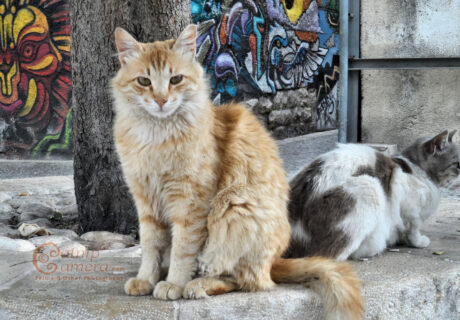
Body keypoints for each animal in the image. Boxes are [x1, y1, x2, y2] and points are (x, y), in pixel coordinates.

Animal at [111, 23, 362, 318]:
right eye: (143, 82)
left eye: (175, 80)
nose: (161, 100)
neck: (156, 137)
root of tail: (275, 261)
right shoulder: (146, 201)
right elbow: (151, 246)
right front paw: (146, 279)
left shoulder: (191, 203)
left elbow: (183, 249)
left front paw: (174, 283)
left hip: (234, 207)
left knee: (243, 281)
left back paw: (197, 284)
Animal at [286, 130, 458, 260]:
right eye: (457, 165)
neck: (418, 171)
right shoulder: (410, 211)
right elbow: (412, 230)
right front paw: (418, 241)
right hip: (369, 186)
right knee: (331, 255)